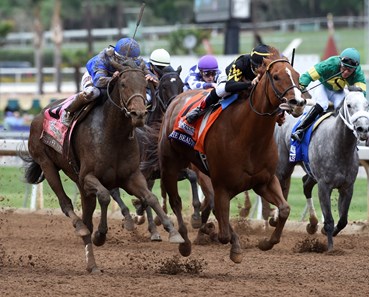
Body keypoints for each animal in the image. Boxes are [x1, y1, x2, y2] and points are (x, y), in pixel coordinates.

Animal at [21, 59, 183, 272]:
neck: (113, 134)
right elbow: (105, 196)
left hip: (80, 184)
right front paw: (101, 234)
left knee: (88, 216)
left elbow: (151, 197)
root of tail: (39, 115)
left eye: (145, 85)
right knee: (67, 204)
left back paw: (92, 263)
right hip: (47, 164)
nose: (138, 114)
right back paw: (81, 229)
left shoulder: (132, 176)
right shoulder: (89, 177)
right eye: (123, 84)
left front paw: (173, 232)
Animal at [157, 49, 304, 262]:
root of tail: (176, 99)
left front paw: (265, 243)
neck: (249, 138)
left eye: (297, 75)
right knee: (176, 201)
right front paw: (227, 242)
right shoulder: (222, 186)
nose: (298, 103)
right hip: (170, 166)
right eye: (276, 77)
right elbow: (224, 233)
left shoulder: (265, 181)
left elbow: (284, 209)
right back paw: (184, 241)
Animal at [274, 89, 368, 250]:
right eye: (349, 105)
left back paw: (312, 224)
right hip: (284, 166)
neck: (339, 147)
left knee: (306, 184)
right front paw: (330, 248)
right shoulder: (324, 186)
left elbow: (343, 220)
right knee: (280, 183)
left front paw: (327, 232)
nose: (363, 129)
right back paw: (274, 219)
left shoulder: (347, 187)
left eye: (367, 104)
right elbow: (329, 220)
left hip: (311, 172)